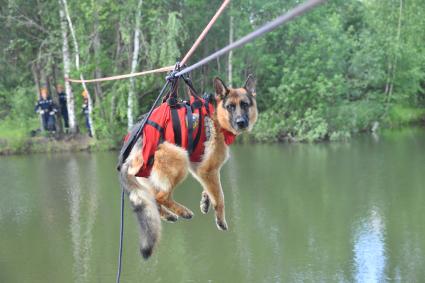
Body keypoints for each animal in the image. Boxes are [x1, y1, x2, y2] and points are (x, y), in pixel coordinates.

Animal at [119, 76, 258, 260]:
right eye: (230, 107)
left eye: (245, 104)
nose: (241, 122)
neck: (217, 115)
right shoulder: (207, 169)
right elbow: (220, 197)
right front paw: (220, 220)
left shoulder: (201, 167)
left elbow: (212, 189)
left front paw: (205, 199)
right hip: (180, 159)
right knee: (161, 196)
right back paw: (182, 211)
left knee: (154, 200)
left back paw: (170, 215)